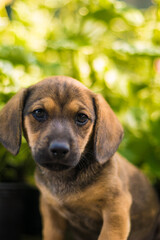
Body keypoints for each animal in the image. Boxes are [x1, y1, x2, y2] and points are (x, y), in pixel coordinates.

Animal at [0, 75, 159, 240]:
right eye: (39, 112)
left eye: (82, 117)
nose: (59, 149)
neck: (65, 177)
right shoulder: (51, 212)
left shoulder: (116, 208)